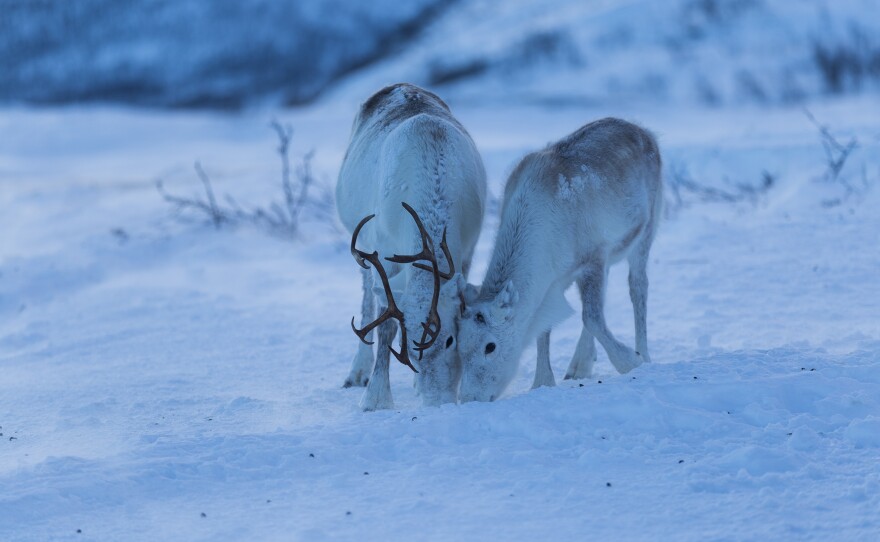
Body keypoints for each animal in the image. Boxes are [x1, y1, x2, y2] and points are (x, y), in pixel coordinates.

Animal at [337, 83, 486, 411]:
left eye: (450, 339)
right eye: (407, 348)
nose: (439, 402)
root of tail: (399, 85)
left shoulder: (468, 250)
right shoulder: (382, 254)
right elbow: (385, 327)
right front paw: (376, 398)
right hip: (361, 248)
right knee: (366, 303)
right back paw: (357, 372)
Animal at [454, 118, 662, 403]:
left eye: (490, 346)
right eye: (459, 346)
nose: (469, 398)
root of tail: (644, 131)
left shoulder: (593, 257)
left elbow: (591, 318)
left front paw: (630, 360)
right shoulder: (555, 280)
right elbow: (546, 329)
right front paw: (542, 381)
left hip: (646, 229)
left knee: (638, 287)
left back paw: (645, 353)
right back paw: (580, 365)